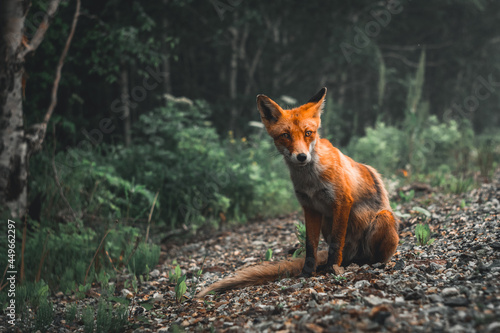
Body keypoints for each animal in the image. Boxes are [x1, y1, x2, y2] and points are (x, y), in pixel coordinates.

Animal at [197, 87, 400, 296]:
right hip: (327, 223)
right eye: (286, 135)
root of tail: (354, 254)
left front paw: (332, 269)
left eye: (308, 133)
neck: (311, 182)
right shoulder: (309, 207)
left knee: (369, 256)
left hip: (383, 218)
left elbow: (336, 242)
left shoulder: (342, 202)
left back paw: (361, 263)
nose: (302, 157)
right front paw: (307, 273)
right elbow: (310, 246)